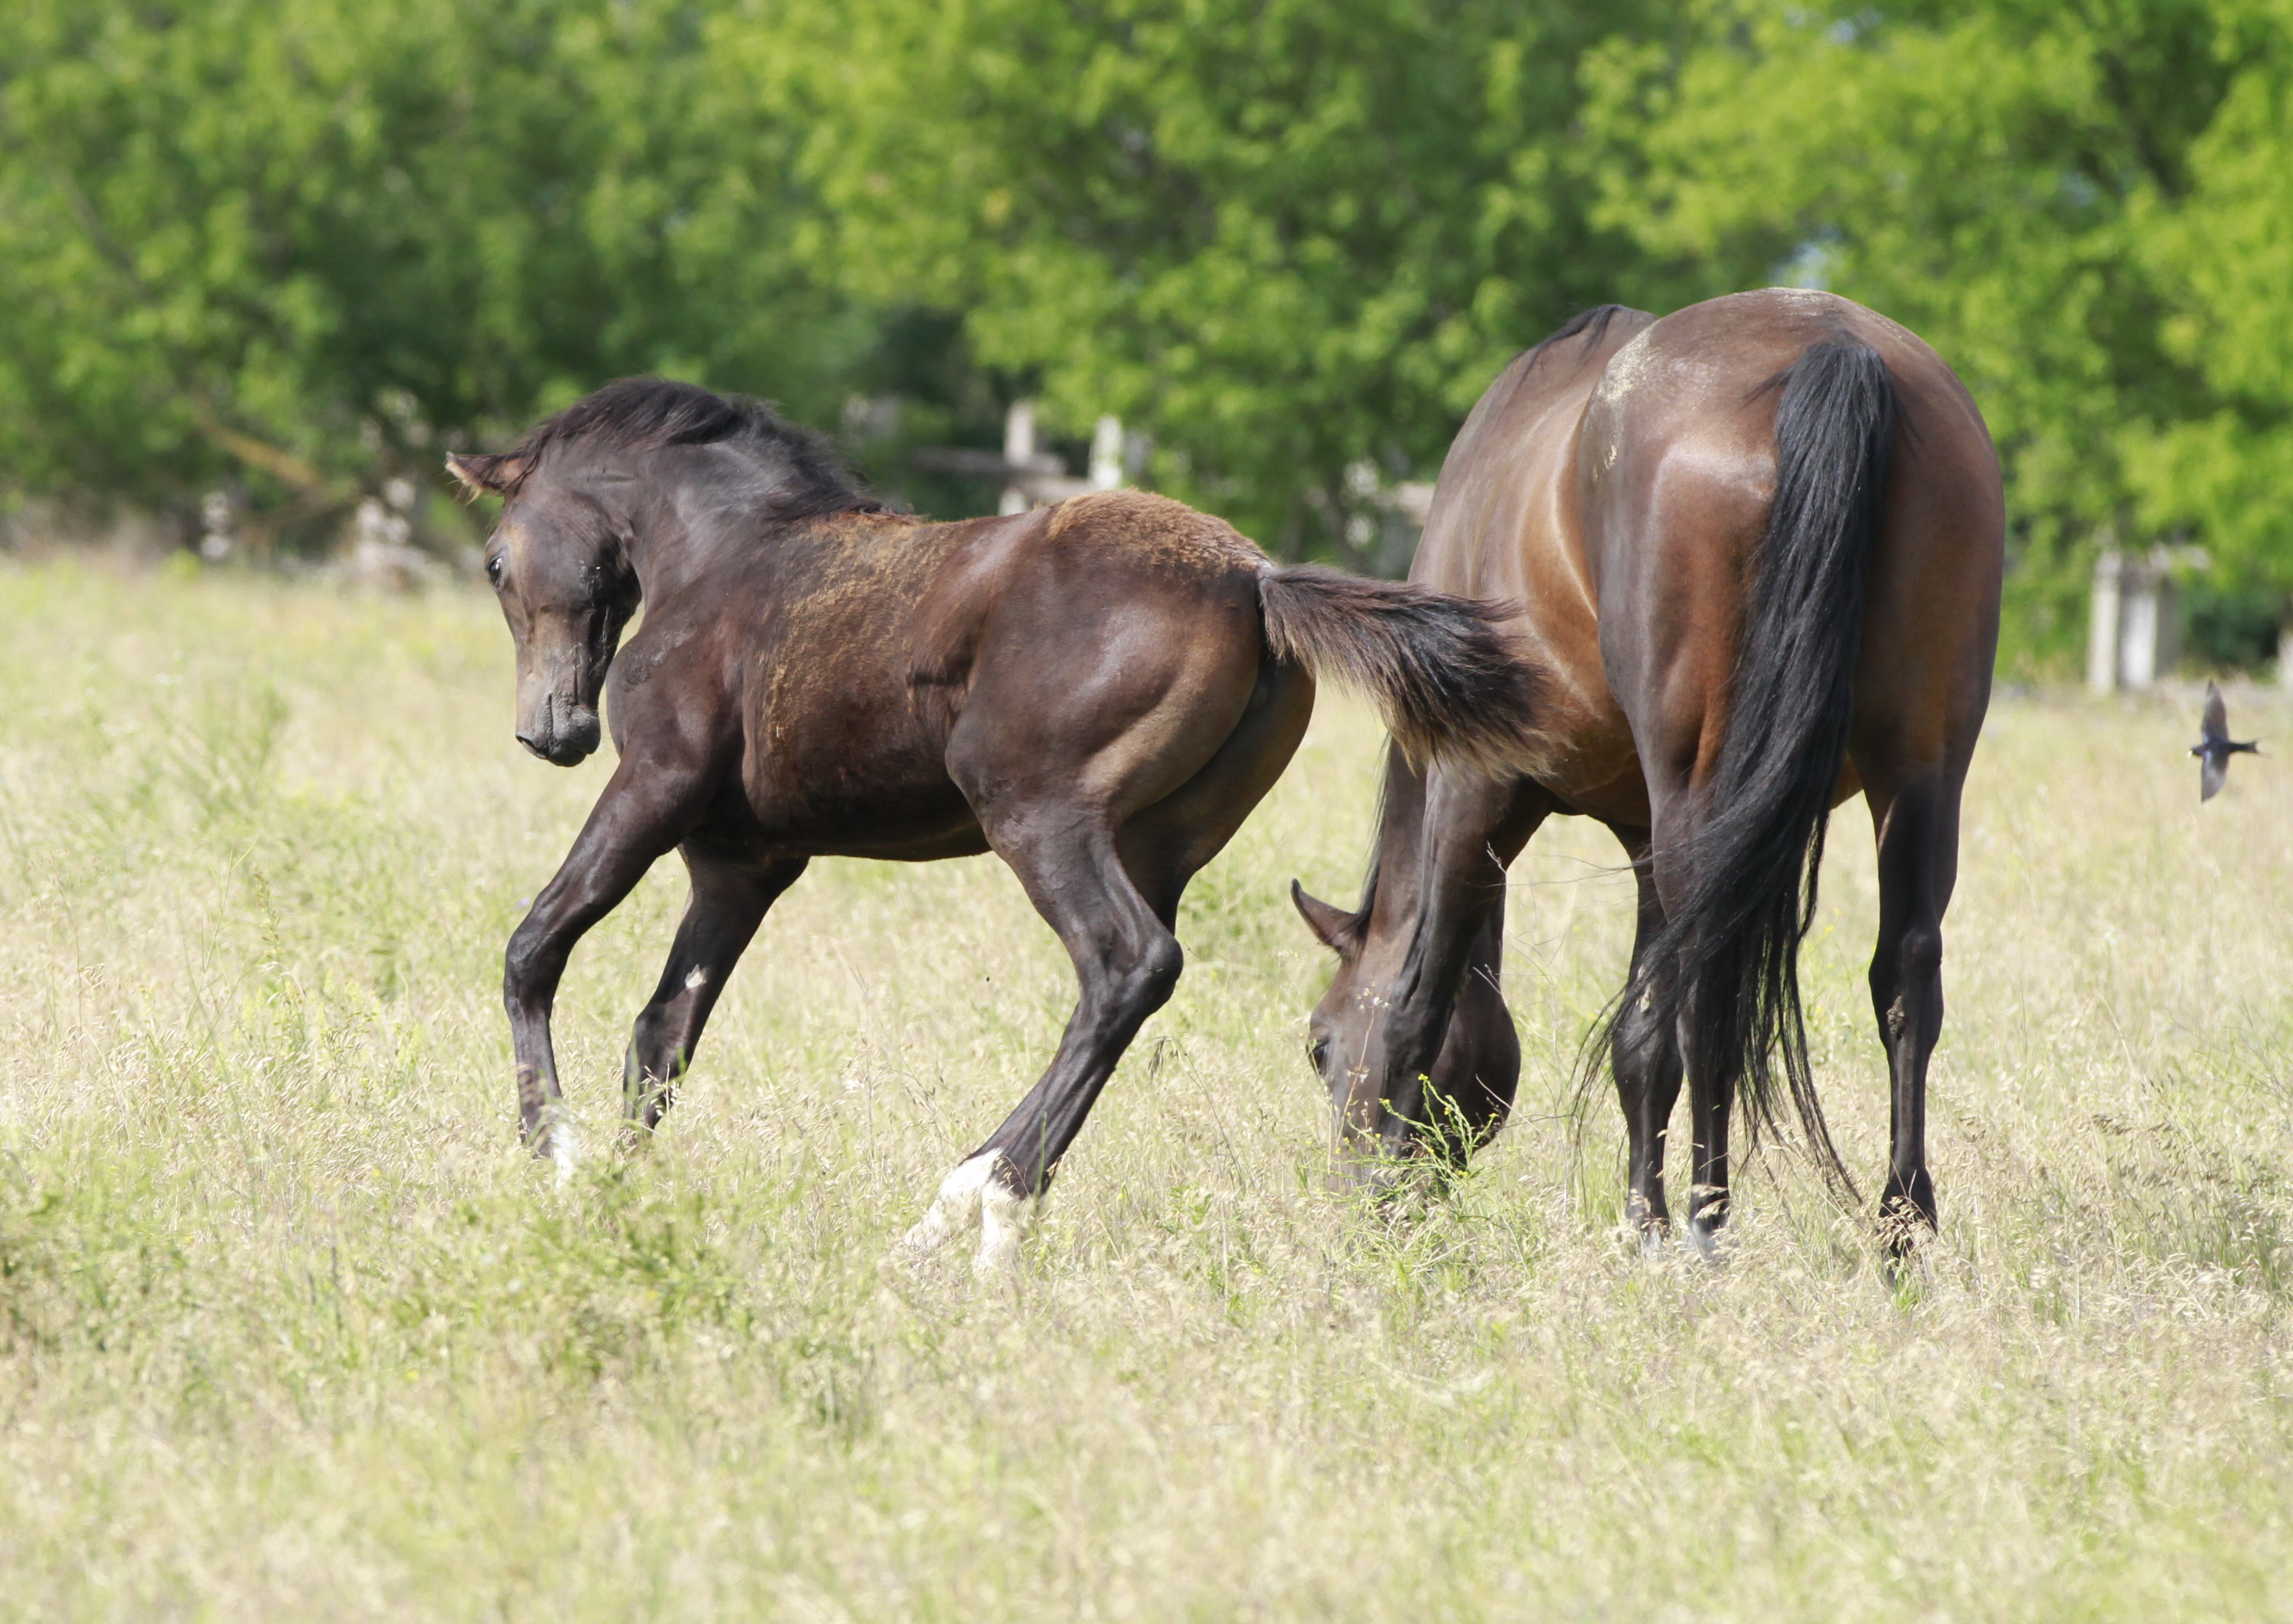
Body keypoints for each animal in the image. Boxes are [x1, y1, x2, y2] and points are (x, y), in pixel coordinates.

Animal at [449, 378, 1549, 1266]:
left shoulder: (652, 785)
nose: (551, 731)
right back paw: (961, 1207)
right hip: (1163, 842)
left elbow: (532, 948)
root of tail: (1255, 578)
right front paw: (616, 1195)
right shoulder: (741, 864)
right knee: (1120, 990)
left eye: (496, 563)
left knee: (1127, 963)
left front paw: (554, 1156)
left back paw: (984, 1202)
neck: (723, 557)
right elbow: (661, 1034)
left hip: (1036, 813)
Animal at [1302, 291, 1999, 1257]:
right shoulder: (1643, 834)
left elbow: (1418, 998)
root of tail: (1834, 346)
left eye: (1319, 1046)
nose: (1344, 1184)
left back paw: (1711, 1223)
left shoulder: (1475, 791)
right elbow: (1641, 1039)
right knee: (1904, 975)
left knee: (1713, 990)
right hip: (1919, 773)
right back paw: (1900, 1228)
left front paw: (1389, 1200)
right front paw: (1641, 1217)